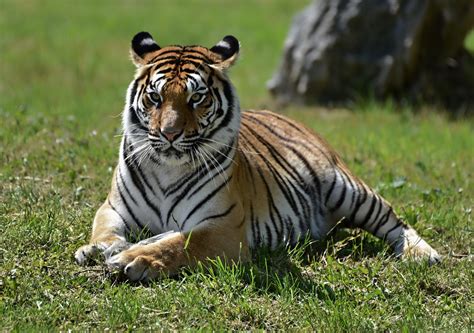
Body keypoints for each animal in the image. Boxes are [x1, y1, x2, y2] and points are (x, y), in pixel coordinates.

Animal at [75, 31, 440, 282]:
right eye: (155, 97)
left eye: (197, 98)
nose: (169, 133)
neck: (168, 168)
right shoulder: (113, 207)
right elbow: (107, 230)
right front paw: (99, 249)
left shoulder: (223, 229)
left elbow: (182, 244)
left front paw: (134, 261)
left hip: (349, 189)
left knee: (394, 221)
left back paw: (422, 253)